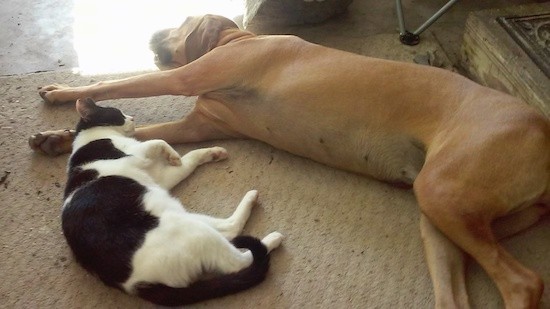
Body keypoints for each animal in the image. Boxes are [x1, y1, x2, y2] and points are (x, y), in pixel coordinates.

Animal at [61, 97, 284, 304]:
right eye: (118, 113)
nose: (132, 118)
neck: (92, 138)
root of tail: (138, 285)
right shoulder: (135, 155)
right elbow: (158, 141)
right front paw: (173, 154)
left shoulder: (161, 177)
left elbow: (189, 159)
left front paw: (210, 153)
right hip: (192, 230)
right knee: (238, 260)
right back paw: (271, 239)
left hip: (182, 216)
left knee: (229, 229)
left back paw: (251, 199)